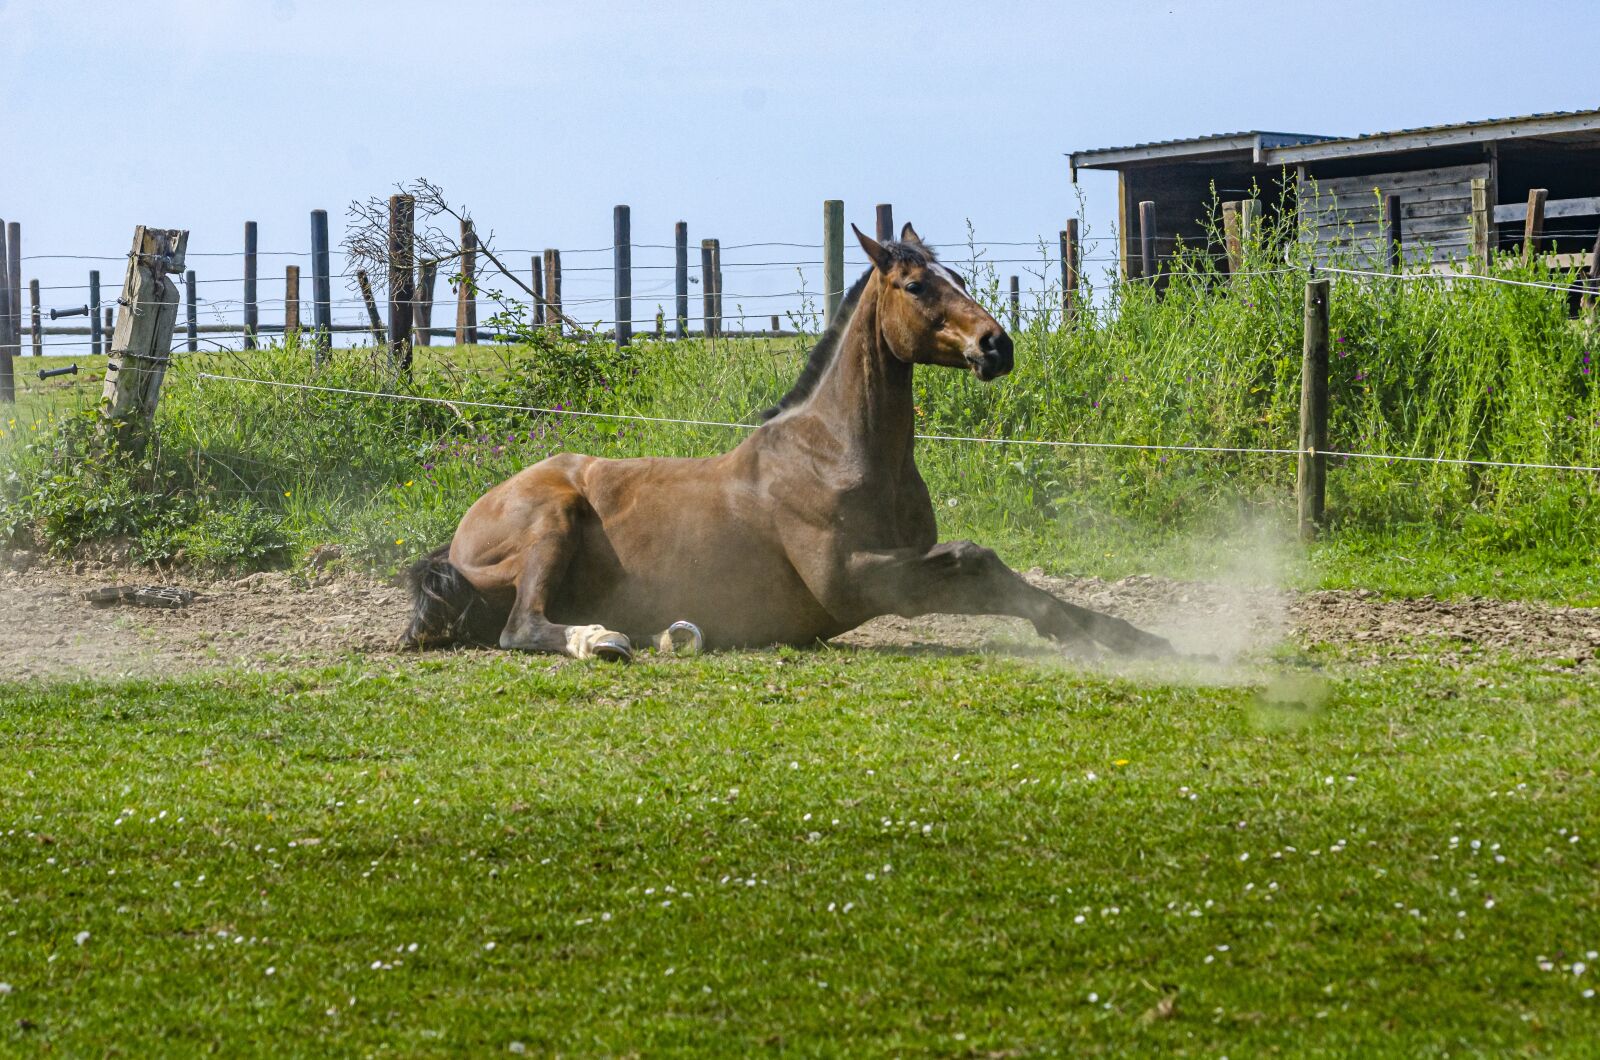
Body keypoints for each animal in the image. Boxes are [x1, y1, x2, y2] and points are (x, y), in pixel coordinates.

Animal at [404, 223, 1174, 662]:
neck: (835, 453)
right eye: (916, 284)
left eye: (956, 275)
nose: (997, 346)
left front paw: (1135, 639)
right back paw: (605, 639)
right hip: (553, 518)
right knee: (523, 627)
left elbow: (1001, 575)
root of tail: (458, 542)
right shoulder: (854, 581)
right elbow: (977, 561)